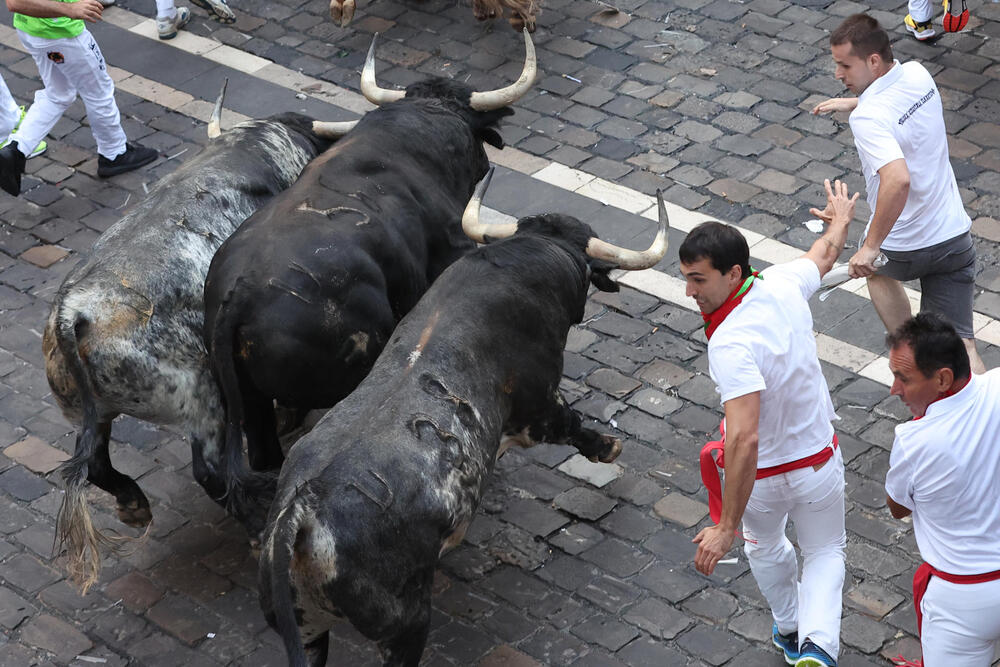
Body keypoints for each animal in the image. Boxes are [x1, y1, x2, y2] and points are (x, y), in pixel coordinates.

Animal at [42, 86, 360, 592]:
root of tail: (75, 312)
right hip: (202, 394)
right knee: (209, 471)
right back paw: (257, 525)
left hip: (89, 409)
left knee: (94, 462)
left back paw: (134, 504)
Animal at [258, 174, 672, 667]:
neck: (524, 263)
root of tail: (303, 508)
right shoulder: (539, 406)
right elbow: (571, 423)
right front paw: (607, 447)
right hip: (403, 624)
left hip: (308, 632)